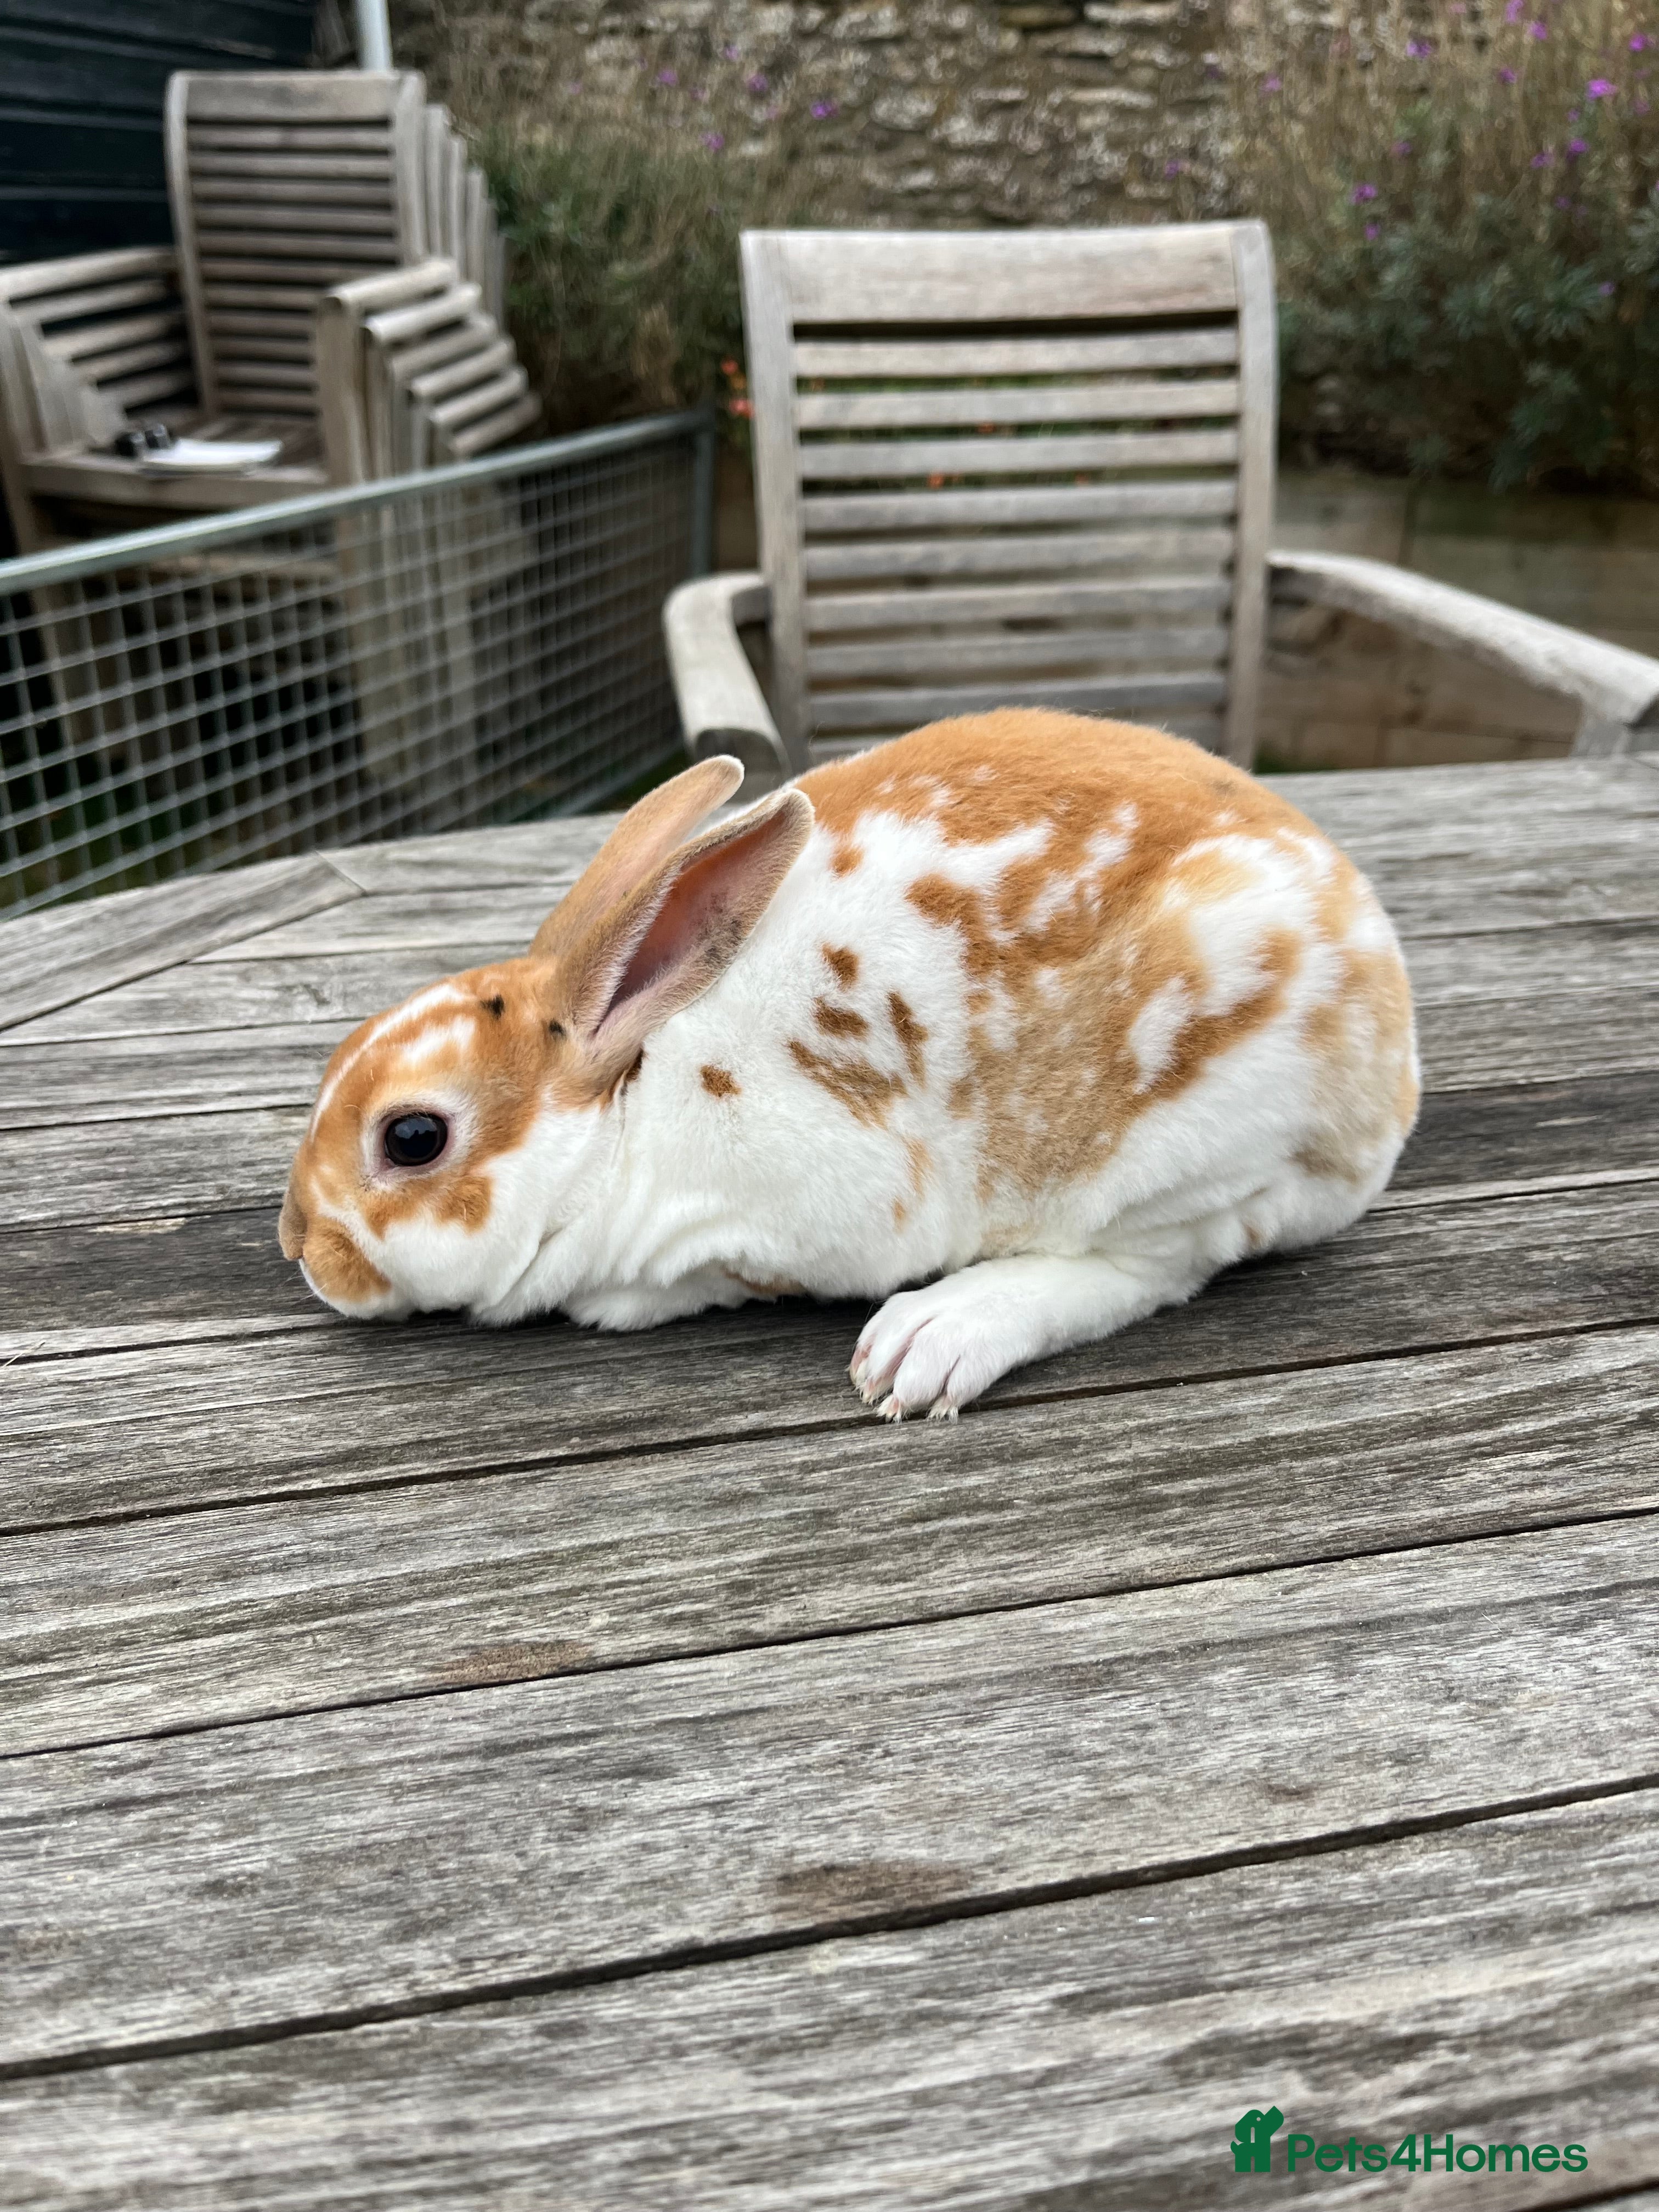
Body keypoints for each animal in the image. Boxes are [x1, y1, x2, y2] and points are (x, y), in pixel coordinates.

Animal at [280, 709, 1419, 1419]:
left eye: (412, 1136)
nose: (302, 1248)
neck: (624, 1123)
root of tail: (1389, 1072)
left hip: (1184, 1156)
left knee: (1155, 1267)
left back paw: (931, 1340)